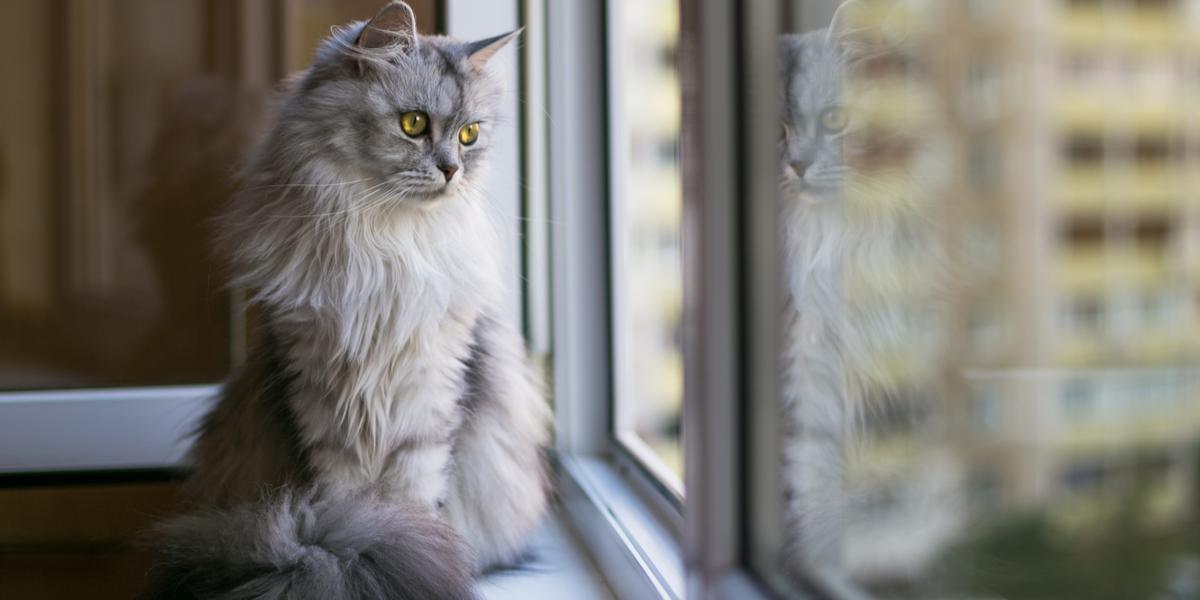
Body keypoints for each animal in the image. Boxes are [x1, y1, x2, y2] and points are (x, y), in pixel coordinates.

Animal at [144, 2, 549, 597]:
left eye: (470, 134)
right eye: (413, 124)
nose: (452, 170)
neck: (383, 243)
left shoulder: (430, 394)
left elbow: (413, 498)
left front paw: (406, 547)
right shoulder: (318, 390)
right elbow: (344, 497)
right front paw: (369, 546)